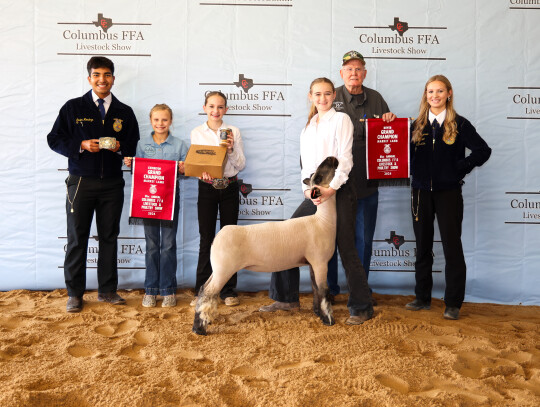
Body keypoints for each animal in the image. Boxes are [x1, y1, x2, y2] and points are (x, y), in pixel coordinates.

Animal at [192, 156, 340, 334]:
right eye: (317, 177)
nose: (332, 158)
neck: (322, 221)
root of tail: (219, 235)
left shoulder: (313, 263)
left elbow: (316, 289)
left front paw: (318, 313)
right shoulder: (320, 262)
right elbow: (324, 291)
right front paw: (328, 320)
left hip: (218, 268)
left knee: (203, 289)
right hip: (224, 269)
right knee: (208, 292)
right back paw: (199, 329)